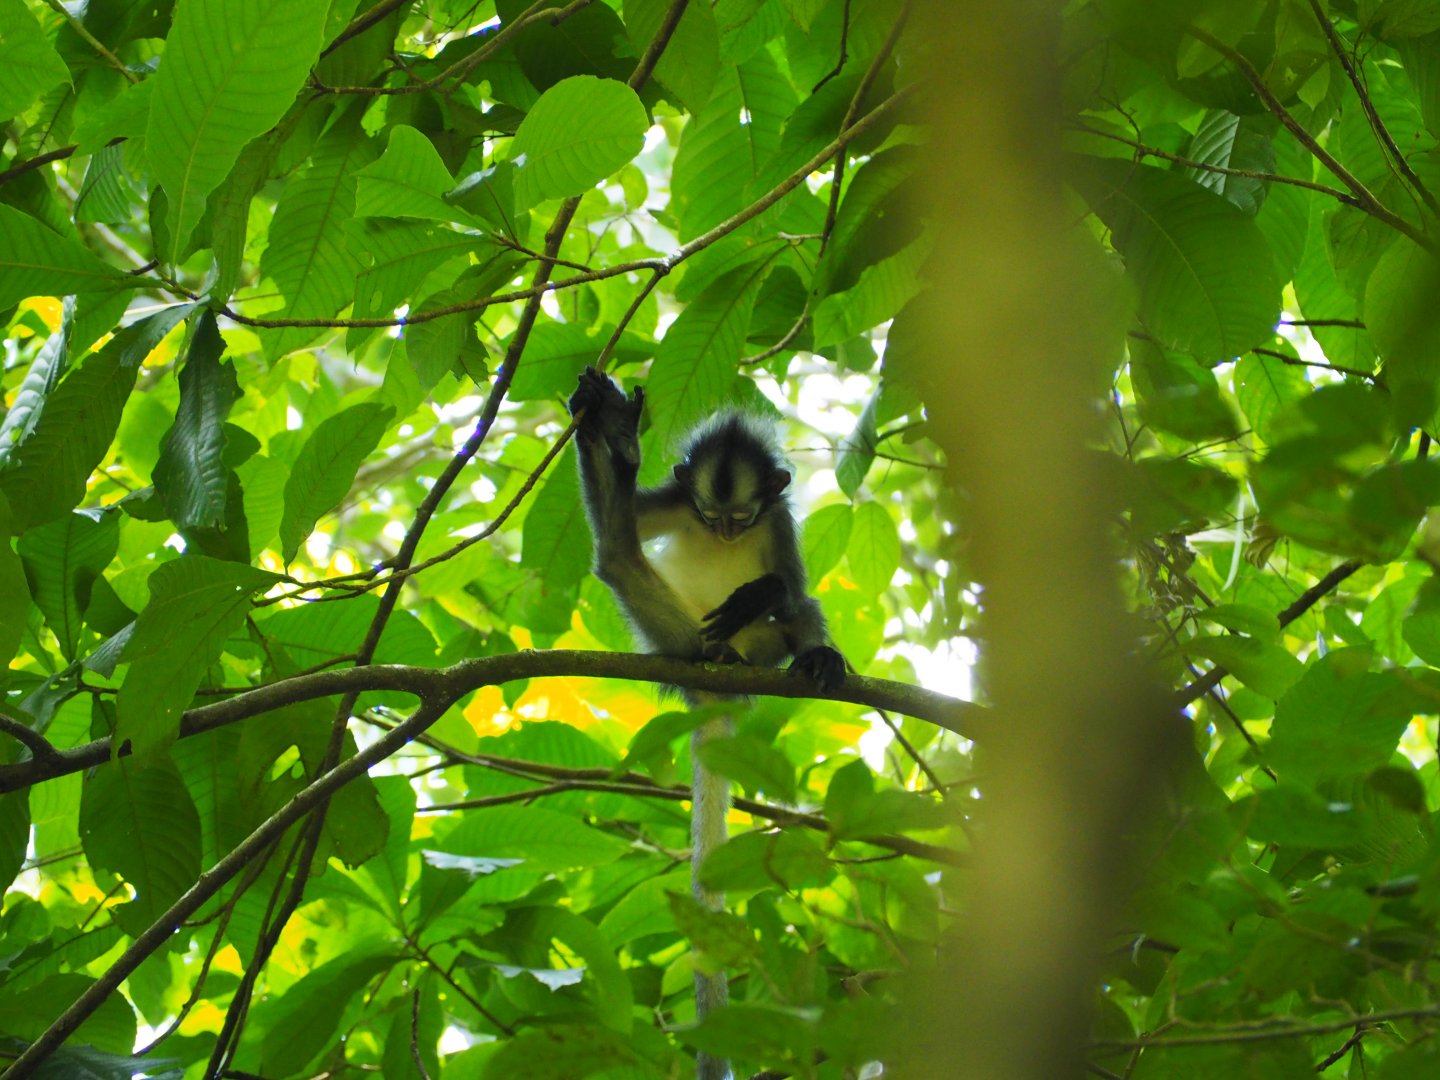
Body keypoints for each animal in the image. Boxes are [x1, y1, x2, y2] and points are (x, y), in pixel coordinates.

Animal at [567, 368, 844, 1080]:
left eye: (741, 520)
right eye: (711, 518)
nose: (723, 535)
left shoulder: (779, 522)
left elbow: (791, 585)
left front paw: (761, 594)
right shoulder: (677, 502)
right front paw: (609, 428)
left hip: (763, 650)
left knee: (800, 610)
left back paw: (813, 655)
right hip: (672, 634)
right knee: (617, 554)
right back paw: (621, 447)